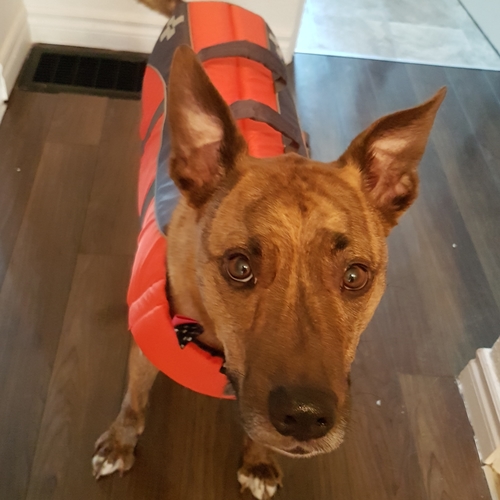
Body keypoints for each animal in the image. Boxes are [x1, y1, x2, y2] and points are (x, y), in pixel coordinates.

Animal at [92, 1, 448, 498]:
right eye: (239, 266)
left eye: (355, 276)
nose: (304, 417)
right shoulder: (146, 352)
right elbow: (134, 400)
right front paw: (120, 442)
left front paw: (259, 461)